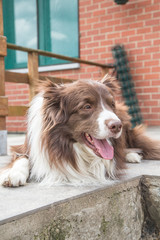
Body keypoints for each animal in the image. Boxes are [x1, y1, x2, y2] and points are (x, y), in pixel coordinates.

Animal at [0, 74, 160, 187]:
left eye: (111, 104)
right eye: (87, 106)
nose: (117, 125)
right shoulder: (26, 146)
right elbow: (22, 157)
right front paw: (14, 174)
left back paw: (132, 155)